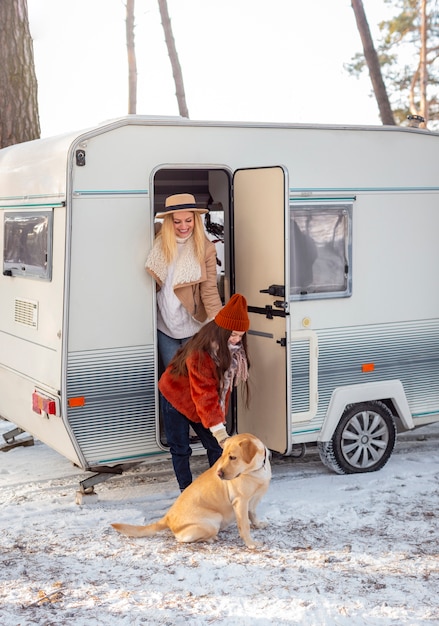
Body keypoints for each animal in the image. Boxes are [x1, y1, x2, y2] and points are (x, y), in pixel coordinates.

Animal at [111, 432, 272, 548]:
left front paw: (258, 524)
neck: (256, 470)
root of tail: (168, 517)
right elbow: (244, 526)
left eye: (233, 457)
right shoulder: (240, 502)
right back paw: (210, 538)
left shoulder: (253, 500)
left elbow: (253, 515)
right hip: (214, 519)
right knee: (183, 539)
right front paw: (251, 544)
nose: (219, 474)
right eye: (224, 456)